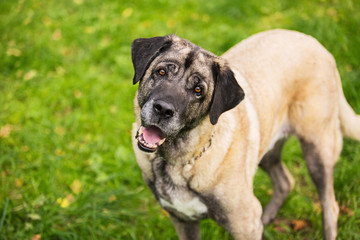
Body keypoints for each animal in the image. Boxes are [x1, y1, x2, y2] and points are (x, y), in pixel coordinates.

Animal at [131, 30, 358, 240]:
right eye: (161, 72)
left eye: (198, 90)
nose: (163, 110)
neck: (177, 161)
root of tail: (317, 44)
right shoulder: (183, 220)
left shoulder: (244, 224)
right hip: (266, 148)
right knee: (285, 182)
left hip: (317, 149)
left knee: (330, 206)